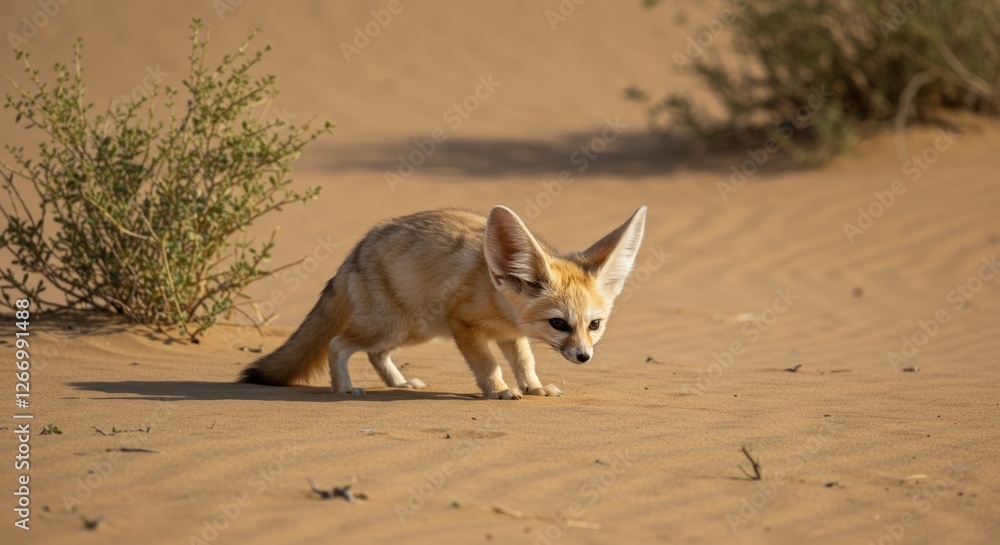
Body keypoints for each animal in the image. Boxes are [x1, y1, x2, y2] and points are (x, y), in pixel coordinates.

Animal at [238, 205, 647, 399]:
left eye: (594, 325)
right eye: (559, 324)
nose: (584, 357)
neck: (494, 292)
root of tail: (356, 251)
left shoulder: (510, 334)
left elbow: (525, 361)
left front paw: (533, 386)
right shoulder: (463, 326)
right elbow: (487, 363)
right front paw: (499, 390)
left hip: (410, 332)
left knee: (375, 354)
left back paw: (400, 384)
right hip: (395, 326)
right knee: (338, 344)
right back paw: (345, 389)